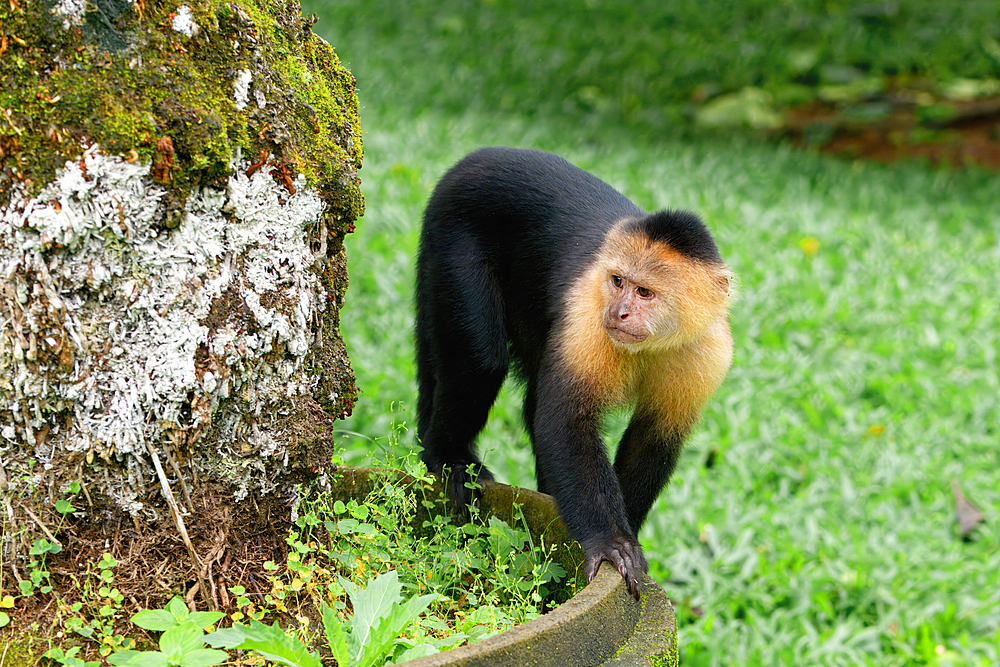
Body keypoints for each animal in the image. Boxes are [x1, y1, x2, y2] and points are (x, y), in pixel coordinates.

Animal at [414, 147, 736, 600]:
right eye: (618, 281)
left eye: (645, 292)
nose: (619, 312)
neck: (652, 341)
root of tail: (477, 157)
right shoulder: (588, 312)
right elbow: (565, 419)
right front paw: (611, 542)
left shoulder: (708, 351)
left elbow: (653, 438)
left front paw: (627, 533)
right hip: (454, 233)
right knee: (481, 360)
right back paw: (447, 458)